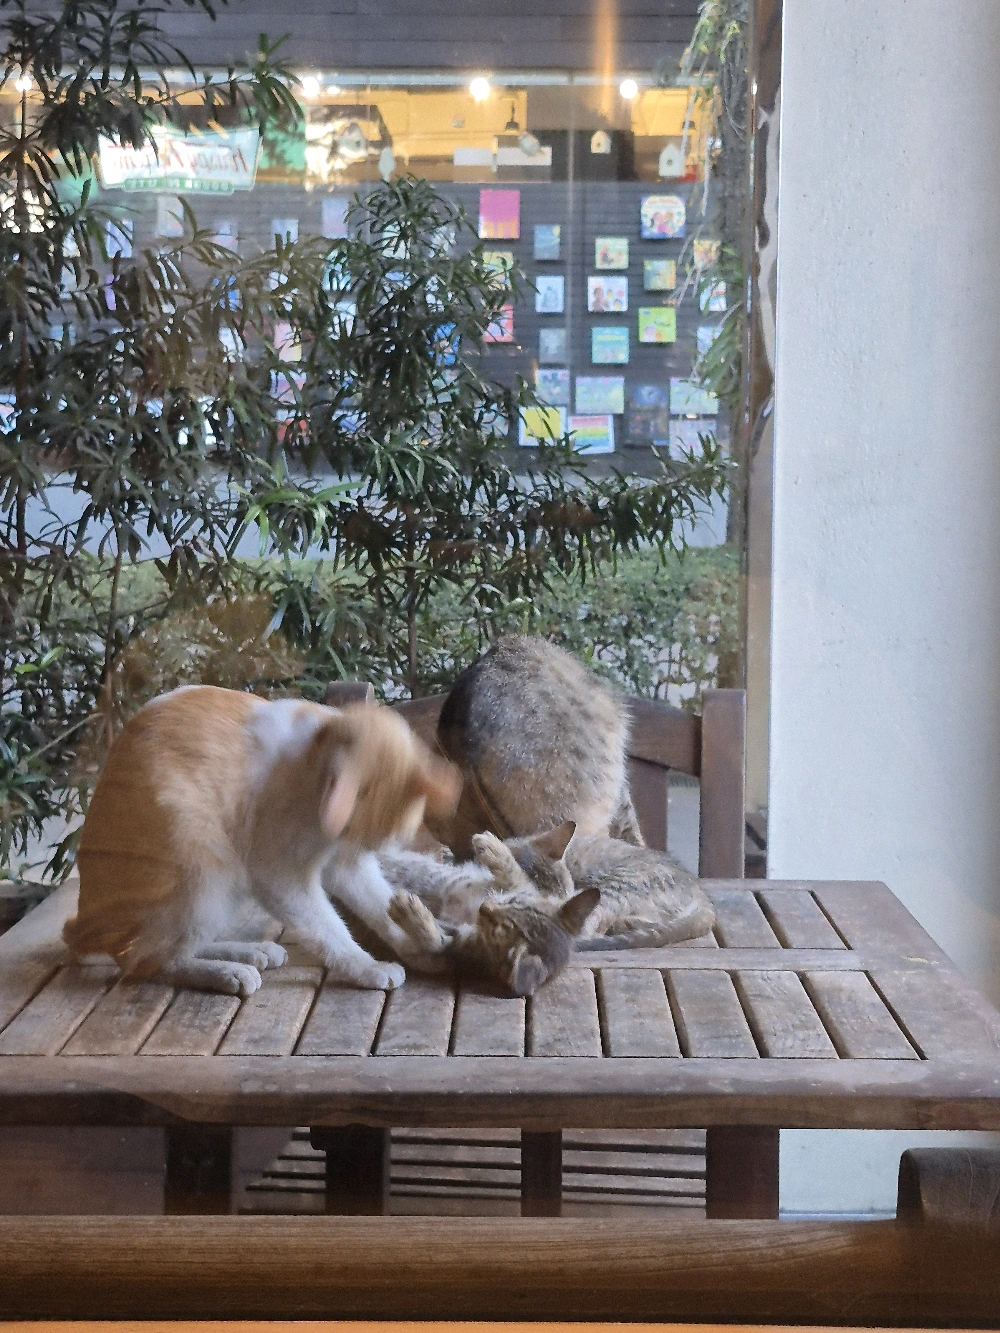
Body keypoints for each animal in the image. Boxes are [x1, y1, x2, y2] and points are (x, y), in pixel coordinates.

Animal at [63, 685, 459, 997]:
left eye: (363, 842)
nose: (349, 845)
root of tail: (87, 923)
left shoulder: (347, 866)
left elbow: (379, 905)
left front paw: (418, 945)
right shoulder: (280, 875)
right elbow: (329, 928)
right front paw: (365, 966)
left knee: (173, 946)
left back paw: (249, 951)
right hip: (202, 863)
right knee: (146, 961)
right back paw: (227, 972)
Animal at [381, 823, 601, 996]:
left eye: (496, 931)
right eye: (512, 901)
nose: (484, 907)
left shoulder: (460, 947)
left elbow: (435, 942)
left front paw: (408, 909)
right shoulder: (516, 886)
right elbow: (515, 875)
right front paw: (493, 848)